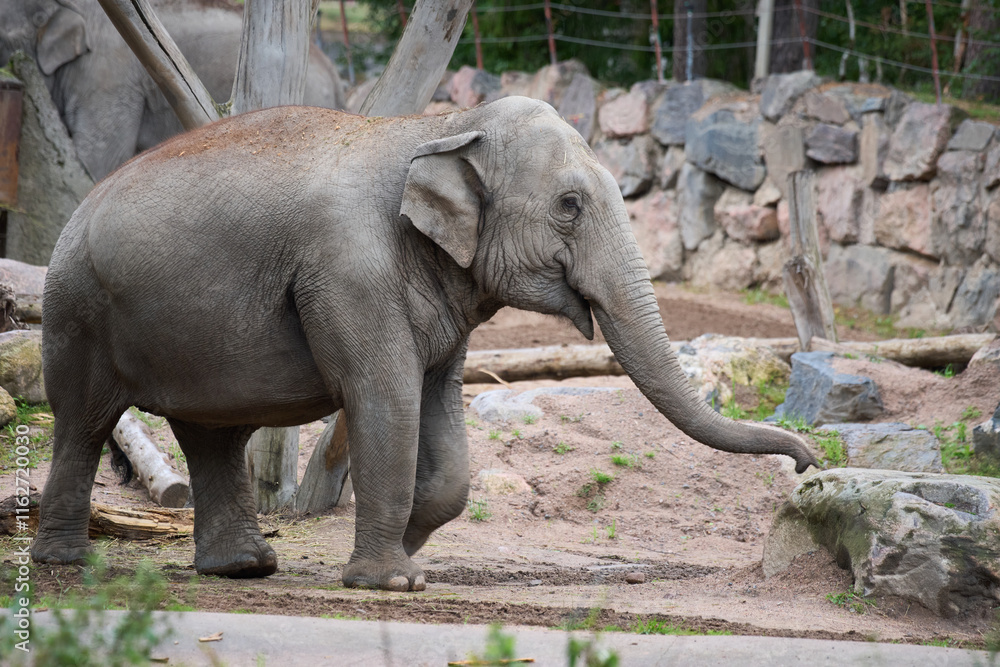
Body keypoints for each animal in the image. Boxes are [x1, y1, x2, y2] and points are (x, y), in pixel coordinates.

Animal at [32, 96, 818, 591]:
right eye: (569, 205)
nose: (807, 462)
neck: (441, 125)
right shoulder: (349, 270)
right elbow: (387, 397)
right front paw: (393, 581)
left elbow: (442, 418)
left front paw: (407, 547)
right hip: (77, 310)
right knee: (84, 423)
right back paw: (68, 566)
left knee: (212, 434)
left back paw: (244, 568)